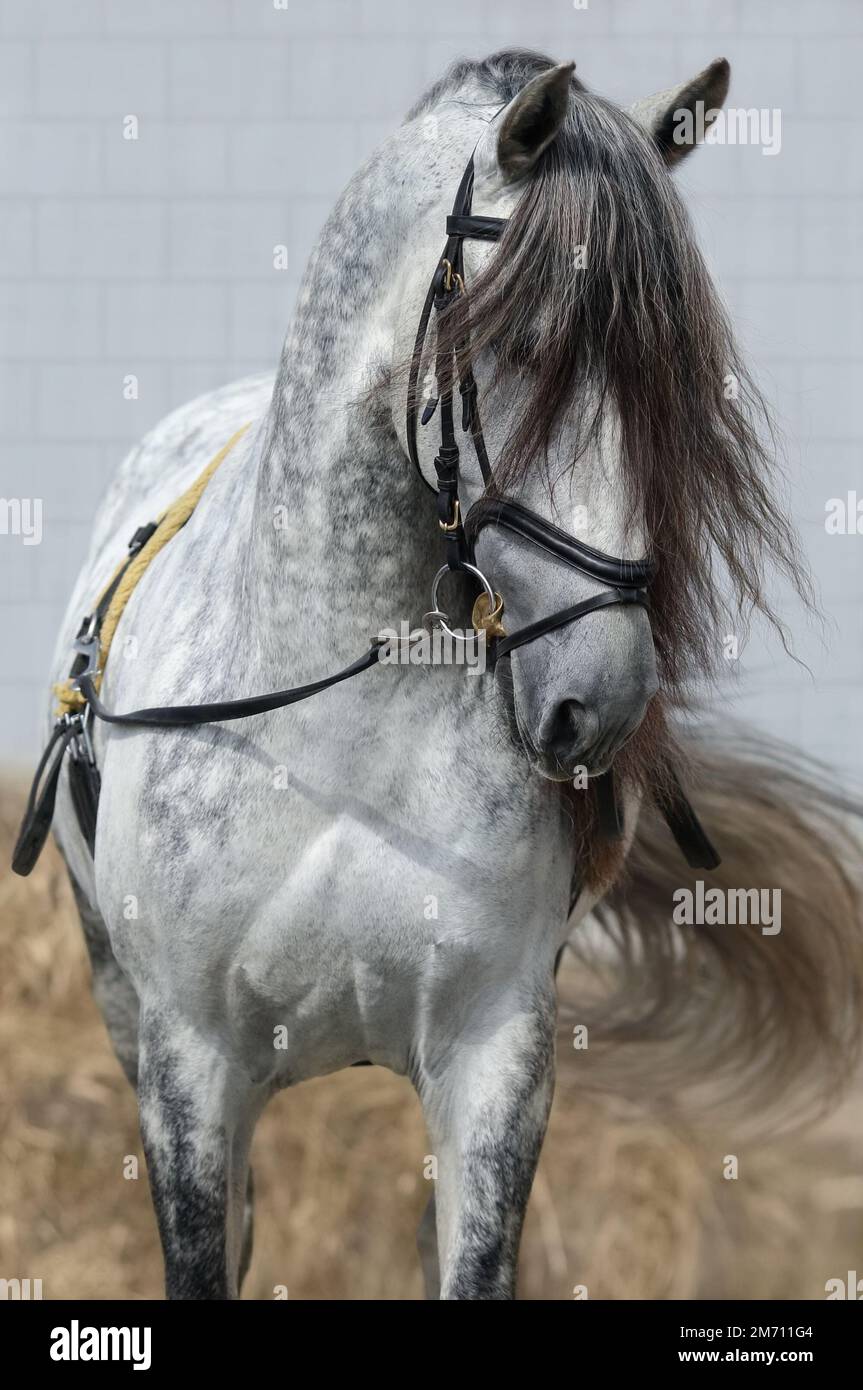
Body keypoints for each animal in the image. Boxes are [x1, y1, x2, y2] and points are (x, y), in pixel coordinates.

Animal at [43, 48, 861, 1295]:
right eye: (522, 344)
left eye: (668, 375)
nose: (599, 703)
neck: (335, 732)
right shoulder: (187, 1071)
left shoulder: (493, 1065)